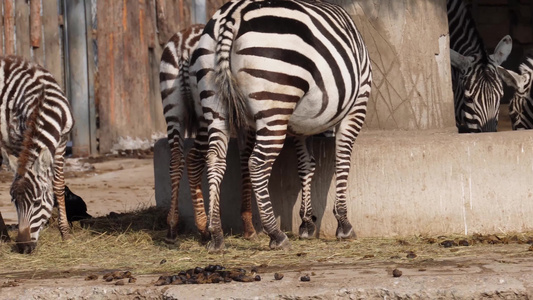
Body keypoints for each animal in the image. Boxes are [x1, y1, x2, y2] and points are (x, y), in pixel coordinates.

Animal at [0, 55, 75, 253]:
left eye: (36, 203)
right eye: (14, 202)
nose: (23, 247)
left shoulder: (62, 141)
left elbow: (58, 185)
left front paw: (65, 234)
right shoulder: (17, 140)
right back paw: (3, 235)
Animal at [158, 24, 258, 244]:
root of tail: (183, 45)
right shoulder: (247, 122)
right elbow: (246, 161)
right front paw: (248, 226)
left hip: (173, 110)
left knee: (176, 159)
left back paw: (173, 227)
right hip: (207, 114)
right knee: (194, 159)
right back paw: (205, 227)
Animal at [190, 0, 370, 251]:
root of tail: (233, 13)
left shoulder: (300, 126)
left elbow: (306, 165)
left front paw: (307, 222)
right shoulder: (357, 104)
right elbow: (342, 161)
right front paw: (343, 224)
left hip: (214, 100)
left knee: (215, 159)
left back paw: (216, 235)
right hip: (274, 101)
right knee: (257, 163)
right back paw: (276, 234)